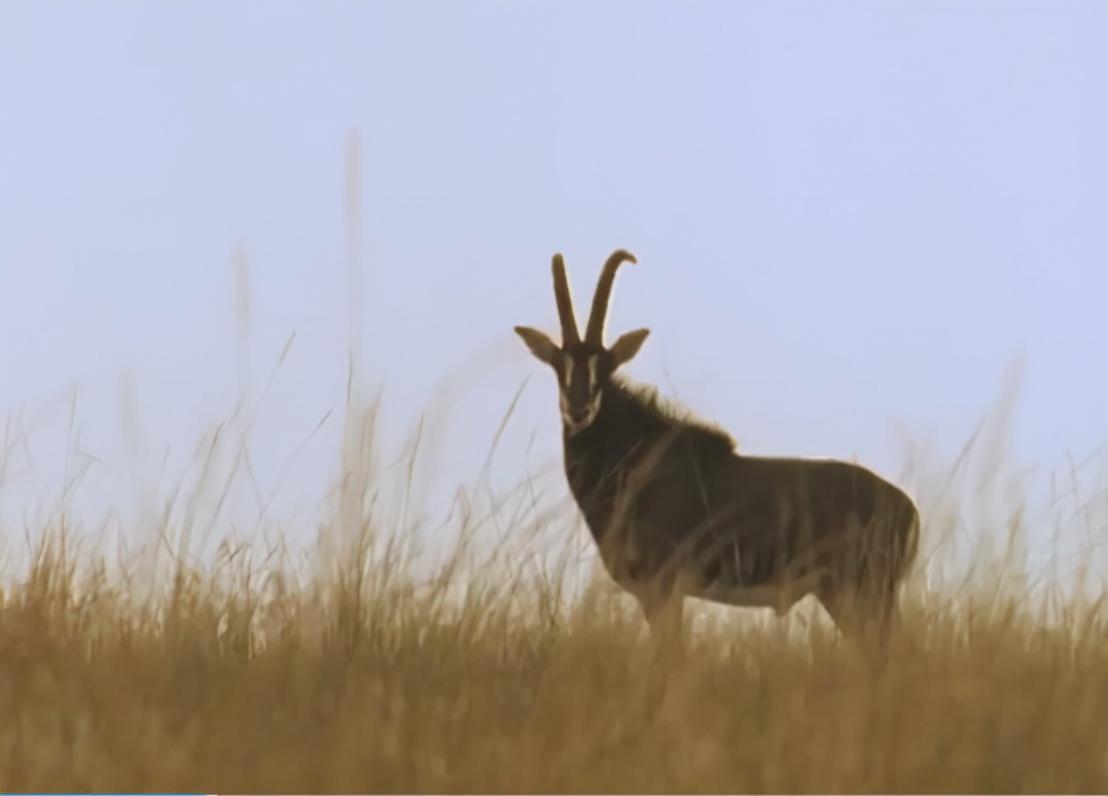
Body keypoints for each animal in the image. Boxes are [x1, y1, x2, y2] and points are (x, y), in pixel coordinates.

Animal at [514, 249, 921, 647]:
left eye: (606, 365)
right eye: (559, 365)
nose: (579, 409)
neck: (634, 460)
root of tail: (908, 509)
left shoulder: (662, 589)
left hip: (862, 590)